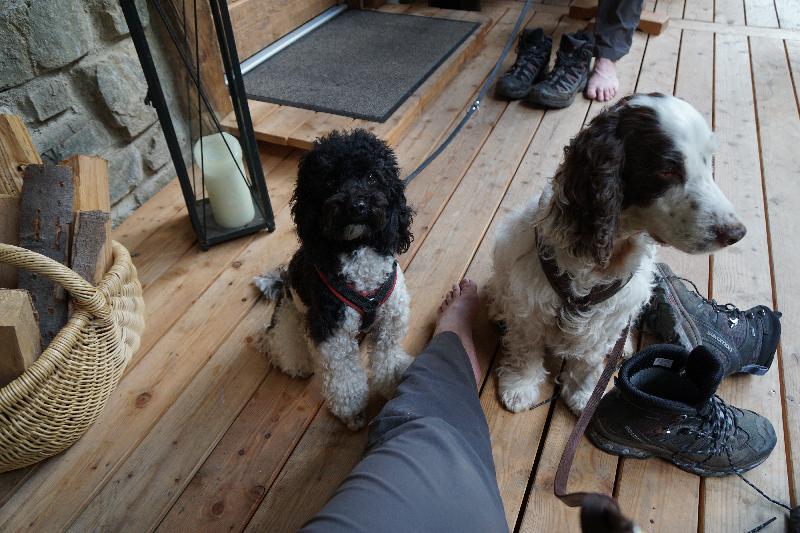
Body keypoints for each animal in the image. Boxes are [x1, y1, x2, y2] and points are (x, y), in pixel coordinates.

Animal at [254, 129, 414, 430]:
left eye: (372, 176)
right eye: (329, 181)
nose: (357, 205)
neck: (359, 251)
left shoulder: (389, 322)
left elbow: (387, 359)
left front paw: (396, 384)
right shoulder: (333, 334)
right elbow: (345, 380)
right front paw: (353, 412)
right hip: (288, 322)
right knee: (279, 347)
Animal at [487, 93, 746, 415]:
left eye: (708, 160)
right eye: (667, 169)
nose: (736, 233)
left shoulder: (609, 315)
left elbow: (588, 360)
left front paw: (584, 395)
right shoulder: (529, 304)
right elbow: (526, 349)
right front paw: (519, 387)